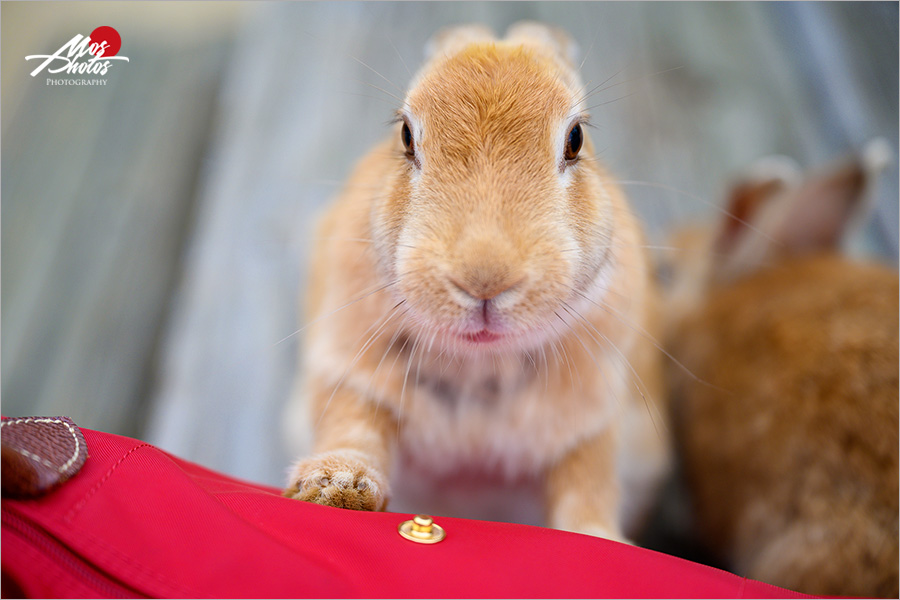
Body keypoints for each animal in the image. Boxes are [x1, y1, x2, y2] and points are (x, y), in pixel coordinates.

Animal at [282, 23, 668, 540]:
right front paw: (337, 486)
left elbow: (588, 484)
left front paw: (599, 539)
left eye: (576, 139)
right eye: (406, 135)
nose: (484, 280)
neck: (481, 361)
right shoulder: (351, 375)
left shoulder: (591, 423)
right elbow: (354, 427)